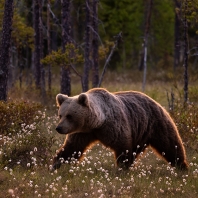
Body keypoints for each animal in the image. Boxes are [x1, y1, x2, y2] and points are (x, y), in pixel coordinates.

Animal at [51, 87, 188, 171]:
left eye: (70, 116)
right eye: (60, 115)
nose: (59, 128)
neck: (97, 123)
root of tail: (154, 100)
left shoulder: (114, 126)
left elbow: (122, 146)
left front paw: (122, 168)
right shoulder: (83, 132)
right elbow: (72, 148)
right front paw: (55, 164)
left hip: (156, 123)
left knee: (170, 145)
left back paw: (182, 166)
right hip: (140, 133)